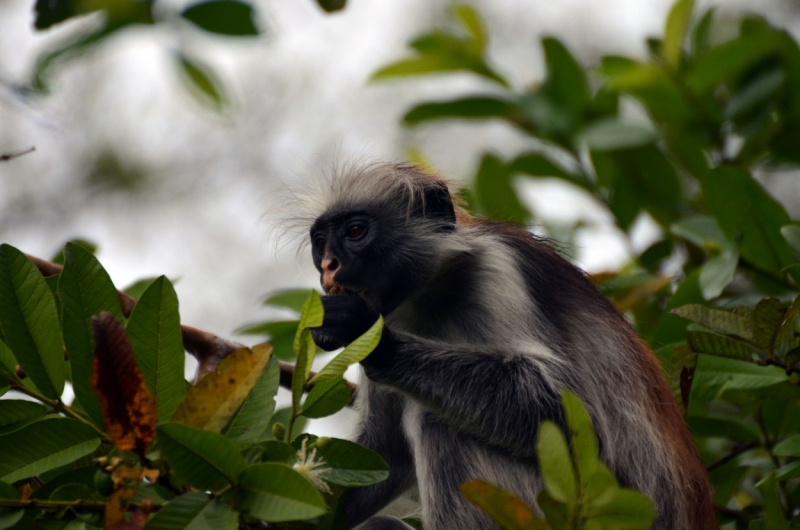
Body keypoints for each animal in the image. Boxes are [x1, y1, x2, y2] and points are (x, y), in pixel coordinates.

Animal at [290, 163, 716, 524]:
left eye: (355, 232)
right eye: (320, 243)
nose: (328, 265)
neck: (431, 292)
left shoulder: (498, 267)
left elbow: (568, 413)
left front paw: (365, 333)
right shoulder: (390, 312)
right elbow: (386, 455)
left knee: (437, 423)